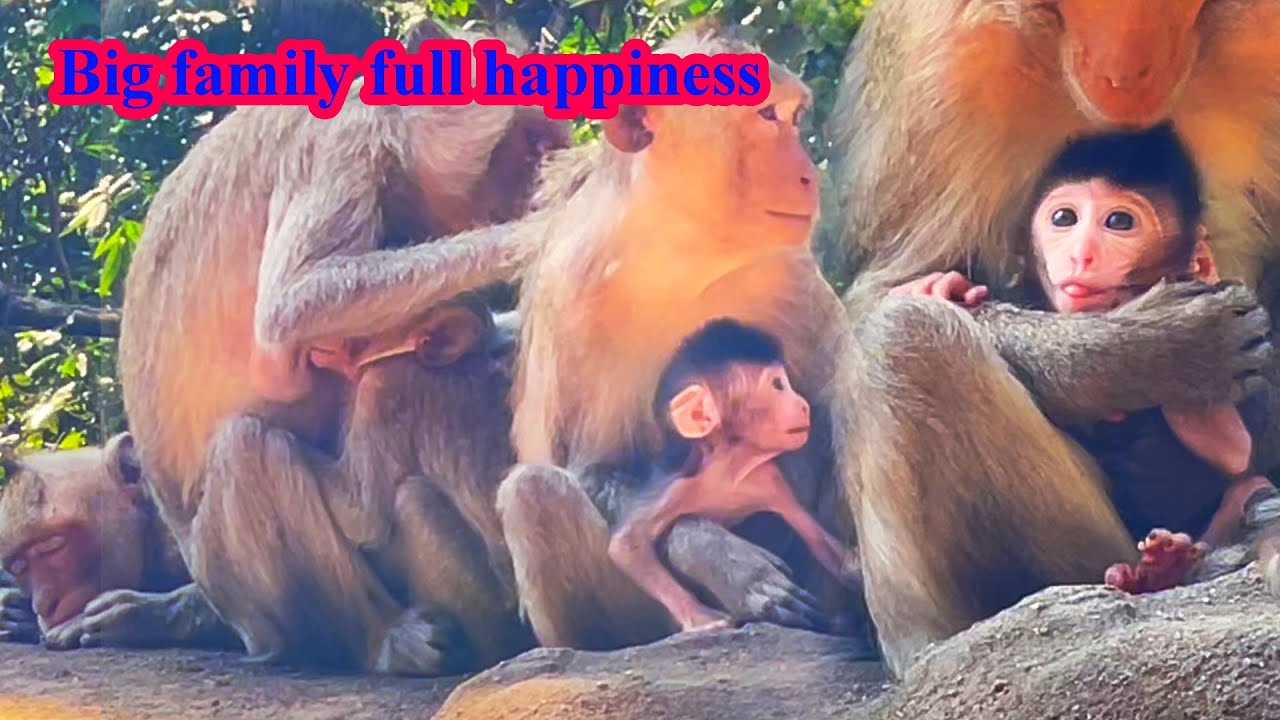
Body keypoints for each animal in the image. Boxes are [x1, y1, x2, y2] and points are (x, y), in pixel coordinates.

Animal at [115, 16, 571, 675]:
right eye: (532, 145)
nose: (542, 180)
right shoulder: (341, 148)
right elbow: (291, 311)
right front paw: (540, 231)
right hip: (238, 588)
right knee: (248, 449)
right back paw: (384, 641)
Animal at [607, 318, 861, 633]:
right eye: (778, 385)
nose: (803, 404)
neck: (729, 469)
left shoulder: (769, 482)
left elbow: (815, 536)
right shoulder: (676, 487)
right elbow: (626, 544)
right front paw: (702, 616)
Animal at [824, 0, 1280, 677]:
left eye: (1120, 222)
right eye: (1064, 219)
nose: (1128, 76)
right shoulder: (945, 67)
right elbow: (893, 288)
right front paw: (1142, 354)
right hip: (1090, 554)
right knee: (905, 339)